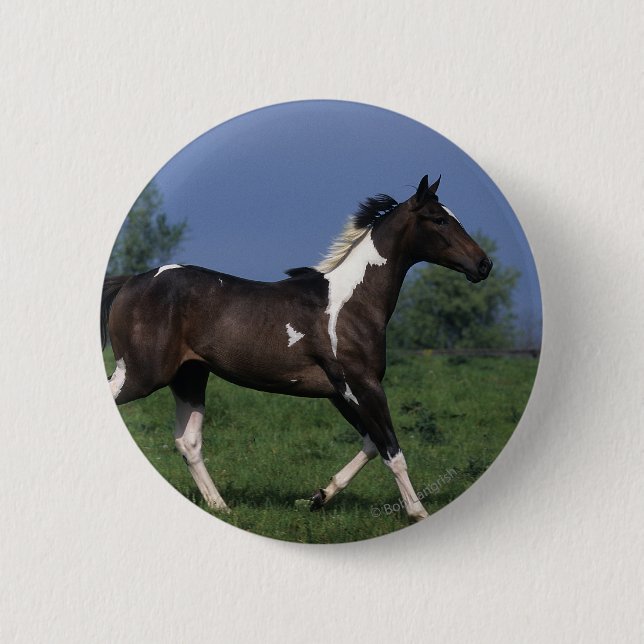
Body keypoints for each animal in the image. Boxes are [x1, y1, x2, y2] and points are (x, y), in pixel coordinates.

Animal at [101, 175, 492, 522]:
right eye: (439, 219)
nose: (483, 264)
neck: (353, 303)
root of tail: (131, 281)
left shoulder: (340, 393)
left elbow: (371, 443)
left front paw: (319, 497)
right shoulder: (362, 385)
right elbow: (392, 450)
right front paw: (417, 512)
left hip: (190, 377)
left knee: (189, 441)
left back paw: (222, 507)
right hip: (142, 374)